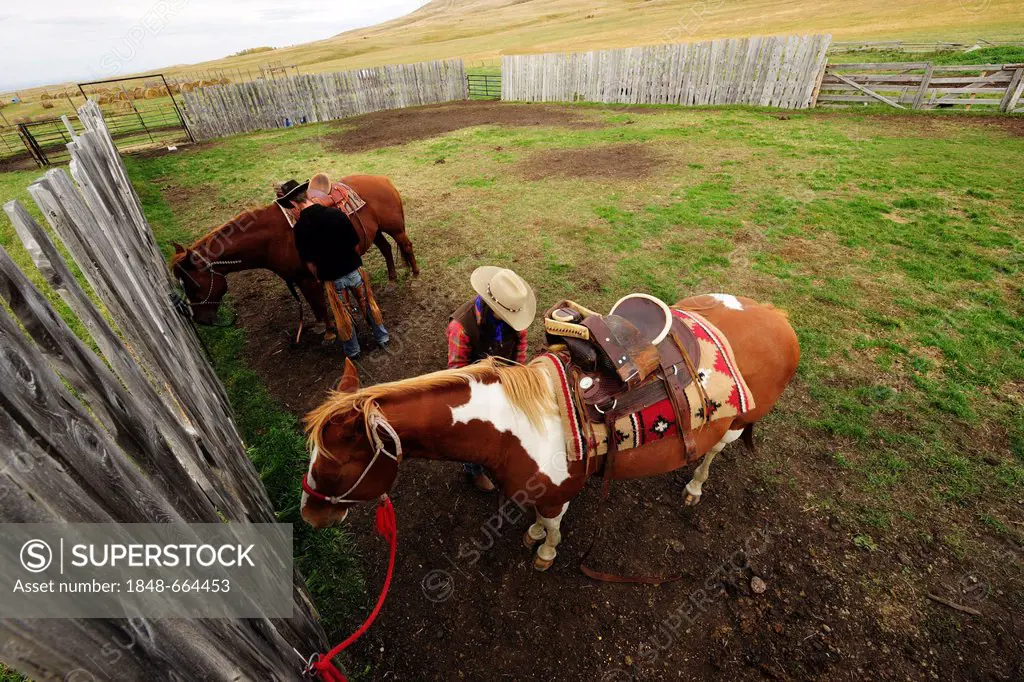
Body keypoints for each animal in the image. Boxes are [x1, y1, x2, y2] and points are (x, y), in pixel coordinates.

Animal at [169, 174, 417, 325]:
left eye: (194, 285)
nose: (199, 319)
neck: (272, 237)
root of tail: (382, 179)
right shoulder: (297, 278)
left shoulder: (306, 278)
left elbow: (318, 306)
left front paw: (328, 333)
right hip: (375, 232)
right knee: (386, 249)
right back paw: (392, 279)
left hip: (394, 228)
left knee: (405, 245)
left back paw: (415, 274)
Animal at [299, 292, 802, 569]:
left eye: (337, 466)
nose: (309, 516)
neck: (511, 426)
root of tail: (777, 316)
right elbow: (539, 520)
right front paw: (535, 536)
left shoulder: (558, 492)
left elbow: (553, 524)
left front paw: (544, 551)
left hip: (735, 424)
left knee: (716, 450)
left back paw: (695, 486)